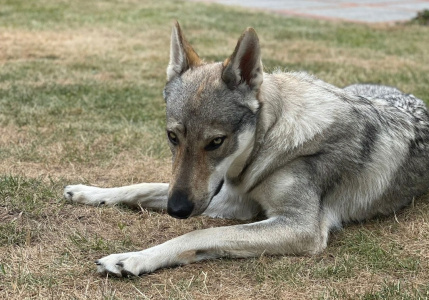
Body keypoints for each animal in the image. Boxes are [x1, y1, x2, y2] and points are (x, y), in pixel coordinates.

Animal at [63, 22, 428, 278]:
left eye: (216, 142)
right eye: (172, 137)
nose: (177, 210)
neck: (270, 141)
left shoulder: (300, 227)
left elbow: (198, 235)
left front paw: (133, 258)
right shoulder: (234, 200)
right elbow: (142, 187)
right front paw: (90, 193)